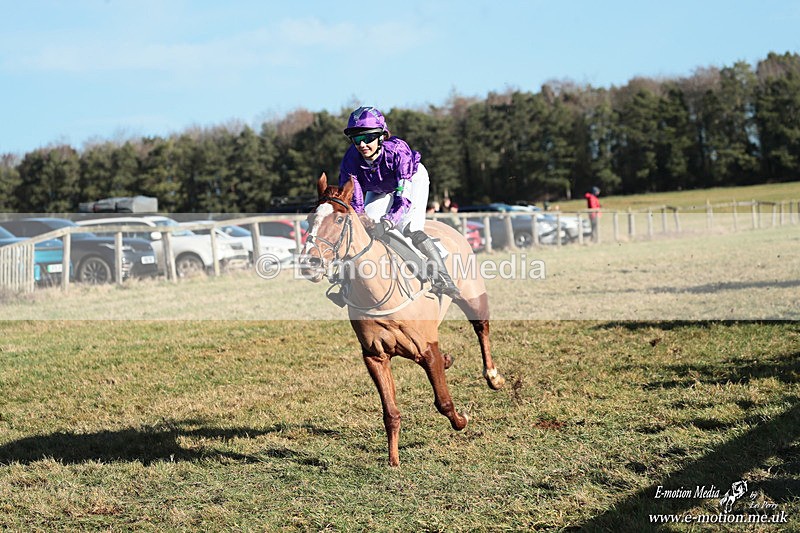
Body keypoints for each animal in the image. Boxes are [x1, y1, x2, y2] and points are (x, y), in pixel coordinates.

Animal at [299, 173, 505, 466]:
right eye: (309, 219)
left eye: (339, 220)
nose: (310, 264)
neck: (378, 291)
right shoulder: (375, 356)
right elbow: (390, 412)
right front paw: (393, 459)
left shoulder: (427, 348)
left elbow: (443, 401)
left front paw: (462, 420)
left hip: (472, 294)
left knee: (481, 327)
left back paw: (493, 376)